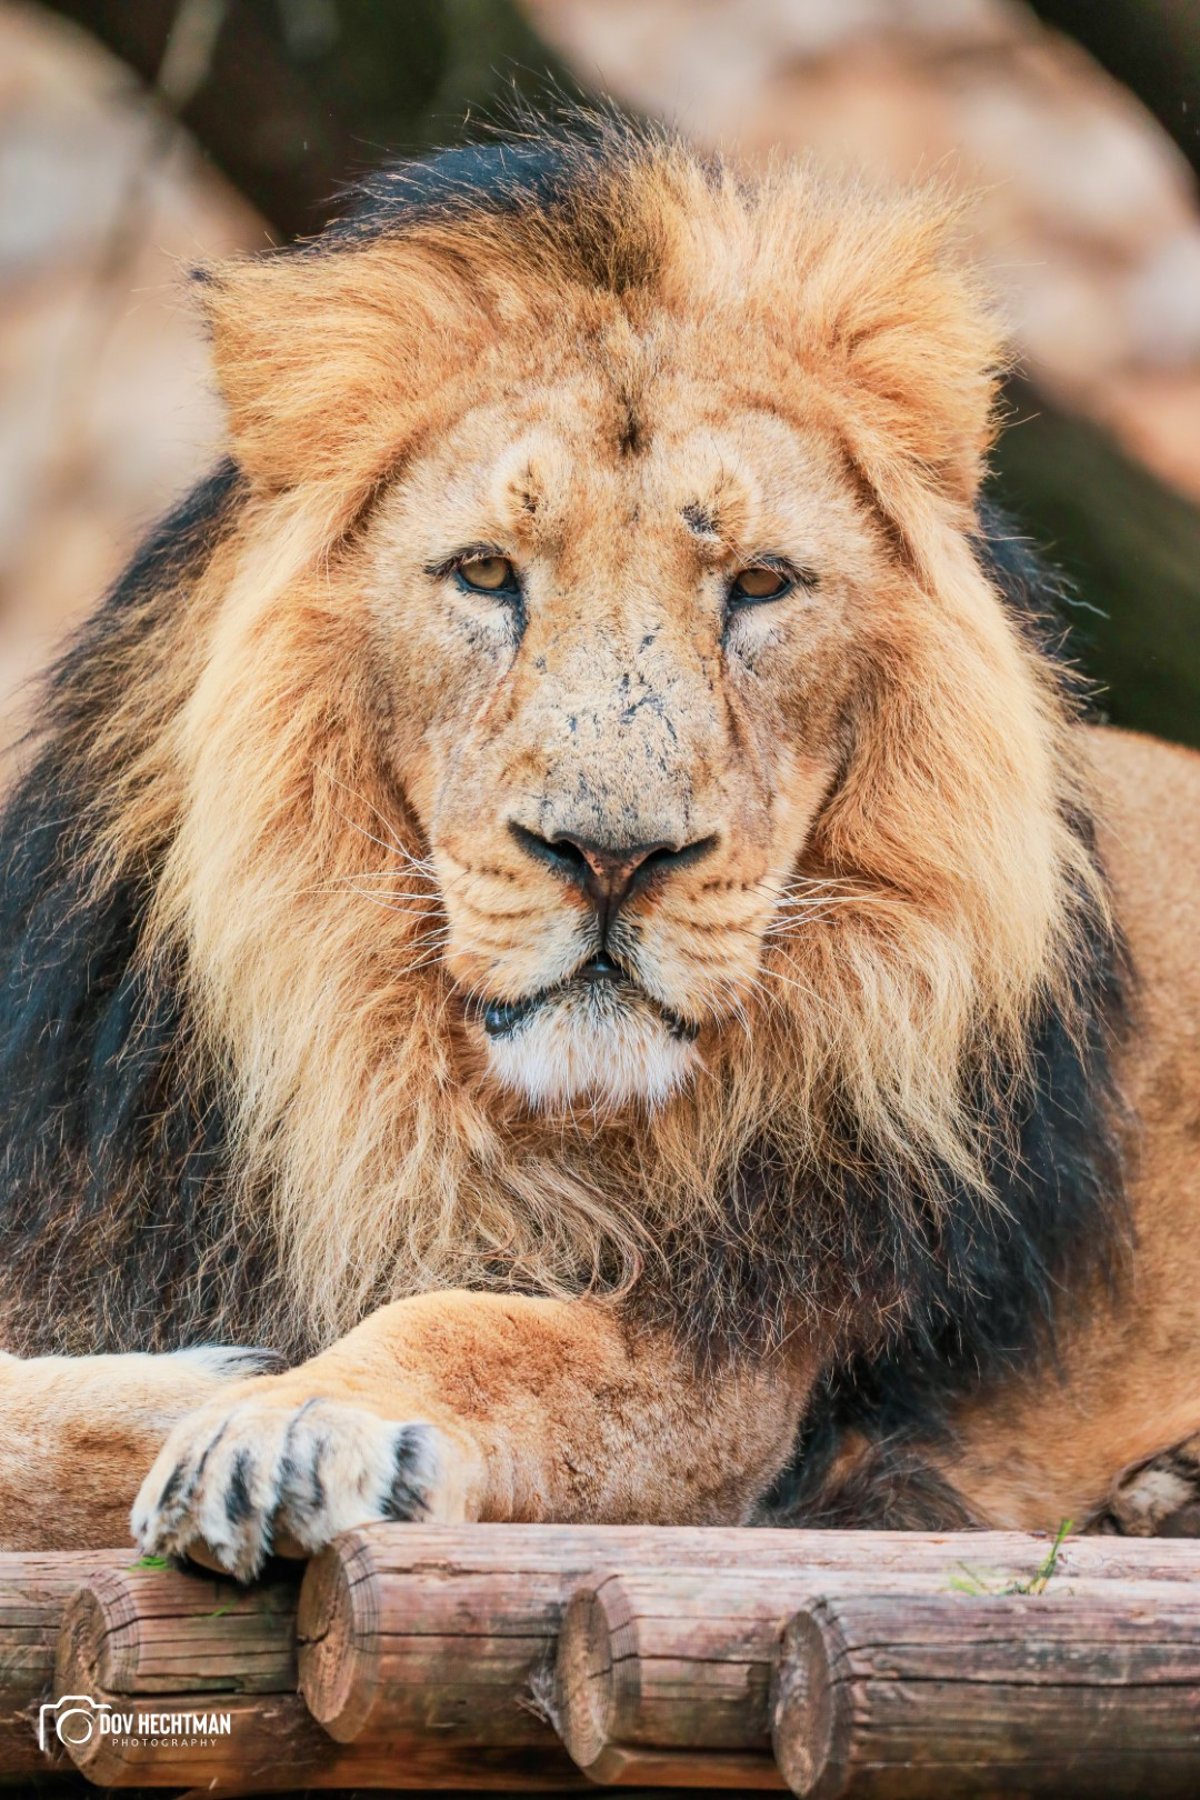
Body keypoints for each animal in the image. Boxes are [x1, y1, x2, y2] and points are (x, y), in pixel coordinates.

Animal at [2, 123, 1200, 1576]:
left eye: (760, 585)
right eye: (483, 573)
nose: (612, 858)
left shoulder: (730, 1376)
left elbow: (479, 1327)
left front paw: (283, 1421)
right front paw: (201, 1385)